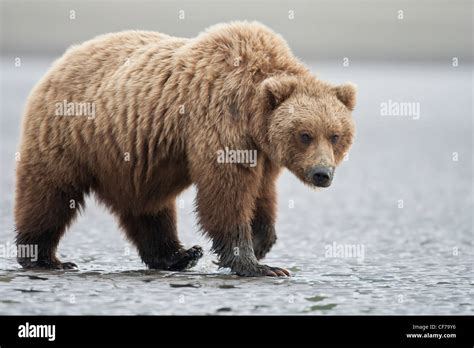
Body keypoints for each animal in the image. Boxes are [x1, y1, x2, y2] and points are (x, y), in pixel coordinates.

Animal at [14, 21, 356, 278]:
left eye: (335, 135)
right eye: (305, 134)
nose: (322, 173)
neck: (251, 113)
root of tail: (62, 59)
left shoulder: (263, 150)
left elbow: (261, 191)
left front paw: (261, 242)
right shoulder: (221, 121)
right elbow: (226, 192)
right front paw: (258, 265)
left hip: (128, 157)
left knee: (147, 207)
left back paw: (180, 254)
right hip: (69, 134)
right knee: (49, 193)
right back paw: (44, 258)